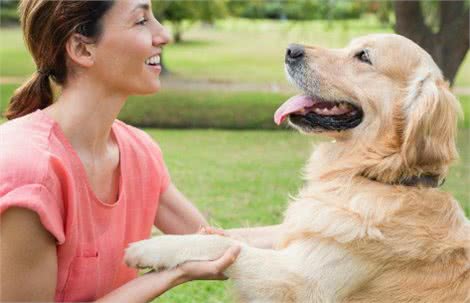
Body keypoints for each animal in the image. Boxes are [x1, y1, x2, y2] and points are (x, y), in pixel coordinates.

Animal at [123, 34, 468, 302]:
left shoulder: (301, 281)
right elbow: (237, 234)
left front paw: (151, 247)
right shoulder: (298, 233)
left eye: (363, 56)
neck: (376, 177)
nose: (291, 50)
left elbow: (225, 243)